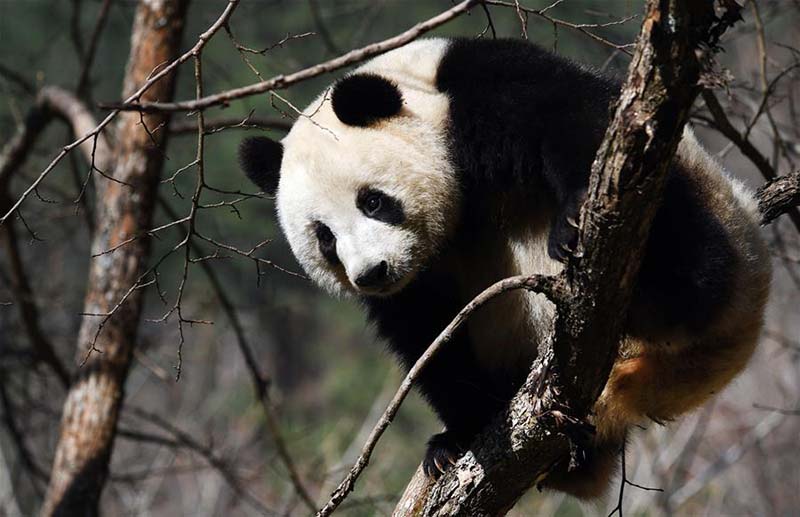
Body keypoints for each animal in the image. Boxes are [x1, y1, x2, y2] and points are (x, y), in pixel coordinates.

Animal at [239, 38, 776, 498]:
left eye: (372, 201)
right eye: (325, 238)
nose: (372, 273)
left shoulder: (484, 90)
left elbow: (579, 126)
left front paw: (573, 225)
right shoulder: (417, 283)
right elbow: (429, 337)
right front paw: (455, 438)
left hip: (715, 223)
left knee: (685, 244)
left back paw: (659, 291)